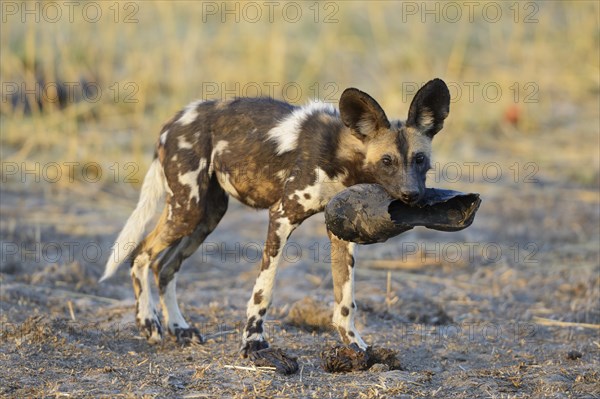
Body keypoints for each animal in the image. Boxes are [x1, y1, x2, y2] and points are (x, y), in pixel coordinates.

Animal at [102, 78, 450, 356]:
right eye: (387, 161)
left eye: (420, 159)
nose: (412, 195)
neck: (342, 154)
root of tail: (174, 120)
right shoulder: (282, 217)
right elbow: (263, 291)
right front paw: (253, 343)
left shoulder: (340, 230)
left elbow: (345, 300)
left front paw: (354, 345)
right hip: (187, 209)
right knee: (140, 254)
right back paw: (148, 322)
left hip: (207, 216)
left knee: (164, 266)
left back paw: (179, 328)